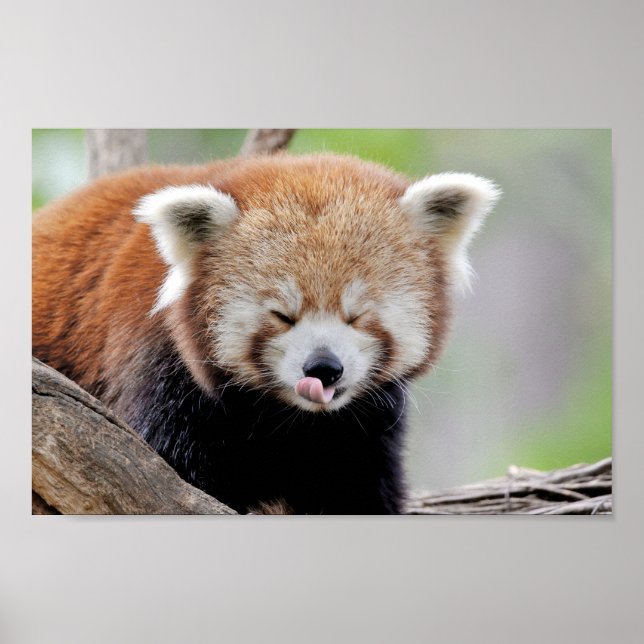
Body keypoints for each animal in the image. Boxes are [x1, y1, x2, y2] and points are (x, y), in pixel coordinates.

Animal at [32, 153, 500, 514]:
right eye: (282, 315)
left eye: (357, 315)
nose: (324, 368)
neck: (289, 421)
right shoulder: (161, 378)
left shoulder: (364, 429)